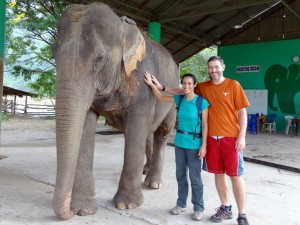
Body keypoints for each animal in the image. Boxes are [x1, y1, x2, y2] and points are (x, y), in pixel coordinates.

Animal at [50, 1, 179, 220]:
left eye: (100, 58)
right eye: (53, 52)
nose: (68, 212)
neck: (122, 26)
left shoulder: (143, 85)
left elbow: (135, 131)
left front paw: (127, 205)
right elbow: (85, 127)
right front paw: (83, 209)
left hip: (172, 99)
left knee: (162, 132)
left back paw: (153, 183)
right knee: (149, 133)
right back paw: (145, 170)